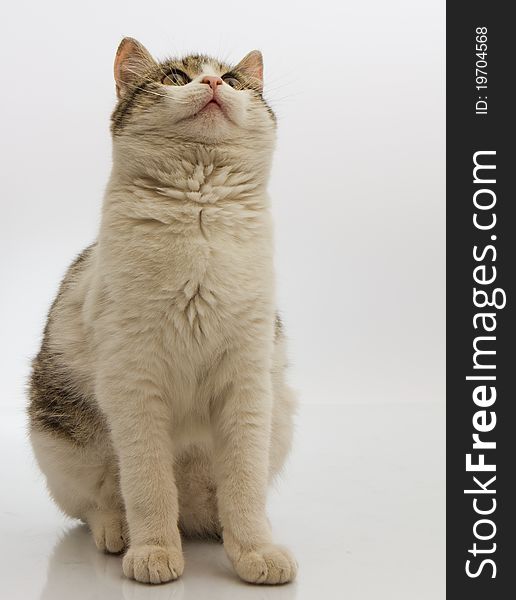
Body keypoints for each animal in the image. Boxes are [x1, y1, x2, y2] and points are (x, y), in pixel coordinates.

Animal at [26, 38, 296, 584]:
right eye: (175, 78)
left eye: (232, 81)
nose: (210, 83)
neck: (200, 212)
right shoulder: (135, 385)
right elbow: (148, 485)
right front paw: (153, 551)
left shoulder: (248, 383)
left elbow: (243, 487)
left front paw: (255, 551)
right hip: (62, 444)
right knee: (100, 504)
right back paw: (120, 534)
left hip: (279, 420)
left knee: (216, 501)